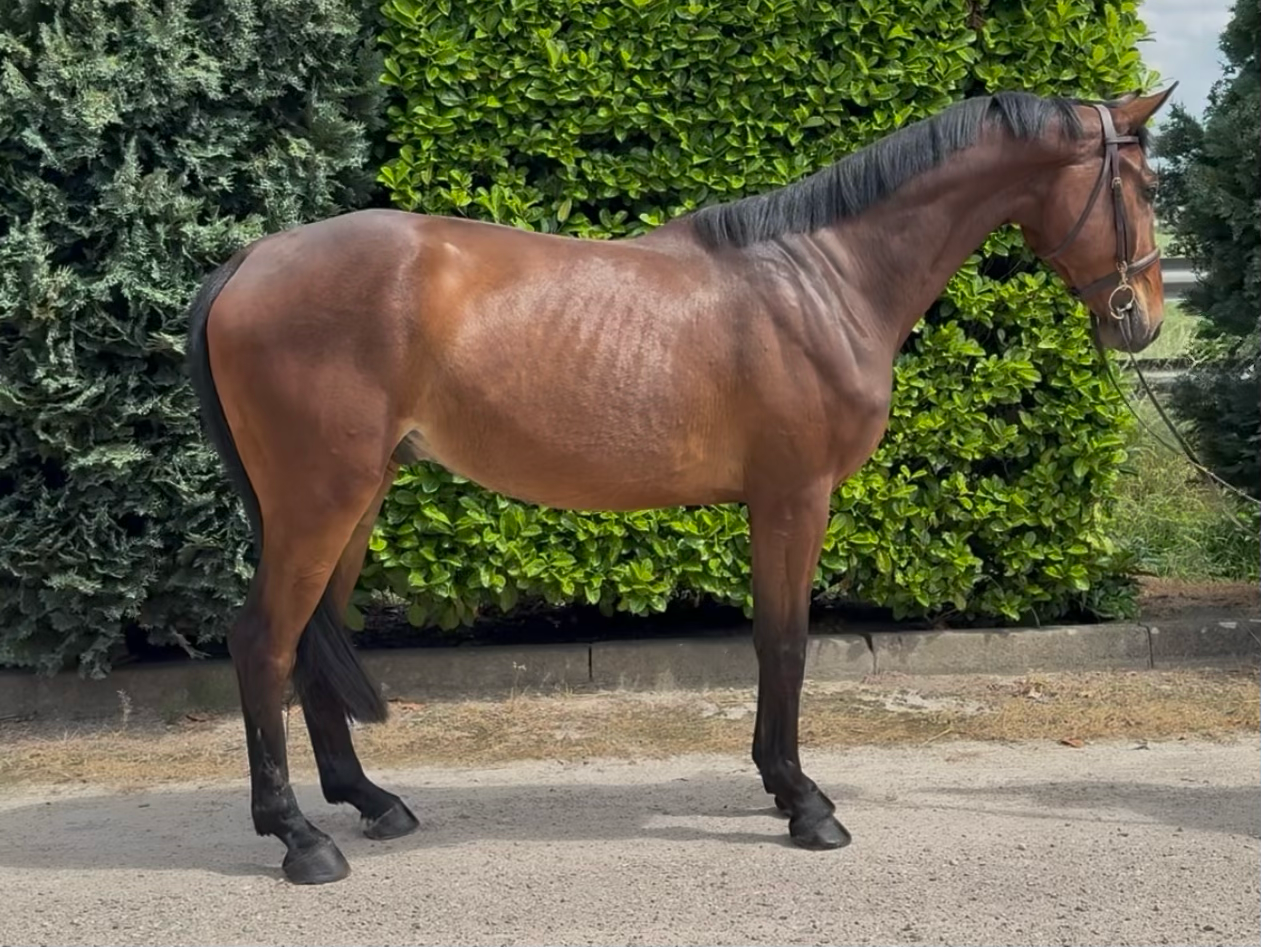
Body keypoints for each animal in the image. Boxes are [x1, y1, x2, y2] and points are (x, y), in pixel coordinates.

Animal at [185, 86, 1175, 884]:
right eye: (1145, 187)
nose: (1142, 320)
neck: (822, 278)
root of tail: (251, 261)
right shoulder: (793, 497)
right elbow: (783, 643)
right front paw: (804, 804)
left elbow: (773, 643)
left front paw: (784, 789)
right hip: (319, 498)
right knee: (263, 642)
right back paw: (301, 839)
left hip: (353, 502)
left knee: (312, 643)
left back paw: (370, 802)